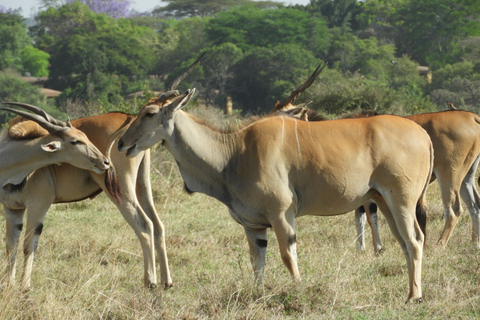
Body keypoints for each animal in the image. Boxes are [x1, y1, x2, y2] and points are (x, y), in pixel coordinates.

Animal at [118, 89, 434, 302]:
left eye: (149, 114)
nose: (121, 143)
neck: (233, 153)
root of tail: (423, 134)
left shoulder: (282, 215)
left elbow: (287, 256)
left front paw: (298, 292)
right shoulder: (254, 226)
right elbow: (257, 263)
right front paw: (258, 295)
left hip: (402, 201)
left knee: (415, 240)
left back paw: (414, 297)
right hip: (384, 202)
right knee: (405, 243)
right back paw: (411, 292)